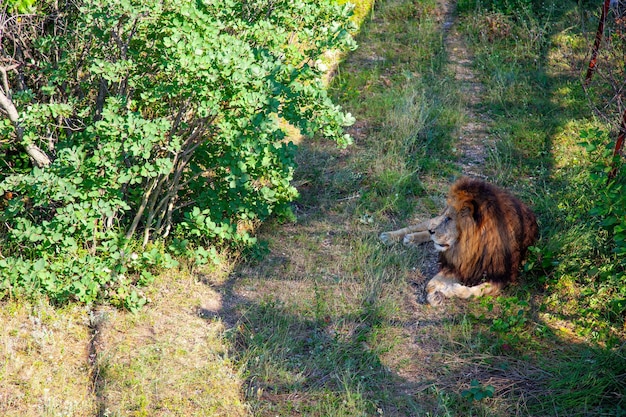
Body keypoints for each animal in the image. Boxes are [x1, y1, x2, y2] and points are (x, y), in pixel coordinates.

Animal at [378, 176, 540, 306]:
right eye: (446, 216)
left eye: (449, 219)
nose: (432, 231)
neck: (470, 247)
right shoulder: (458, 263)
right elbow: (431, 283)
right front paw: (436, 294)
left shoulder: (502, 275)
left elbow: (478, 290)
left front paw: (450, 290)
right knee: (422, 224)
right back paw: (392, 236)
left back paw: (411, 239)